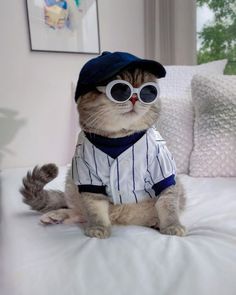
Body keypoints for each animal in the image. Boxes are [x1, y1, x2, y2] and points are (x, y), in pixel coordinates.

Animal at [20, 59, 186, 239]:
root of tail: (120, 218)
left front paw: (172, 225)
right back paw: (55, 216)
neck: (118, 139)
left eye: (148, 91)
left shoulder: (163, 171)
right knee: (79, 213)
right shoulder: (87, 177)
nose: (135, 97)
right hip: (71, 182)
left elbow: (168, 204)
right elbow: (95, 209)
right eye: (120, 90)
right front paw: (98, 228)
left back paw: (155, 222)